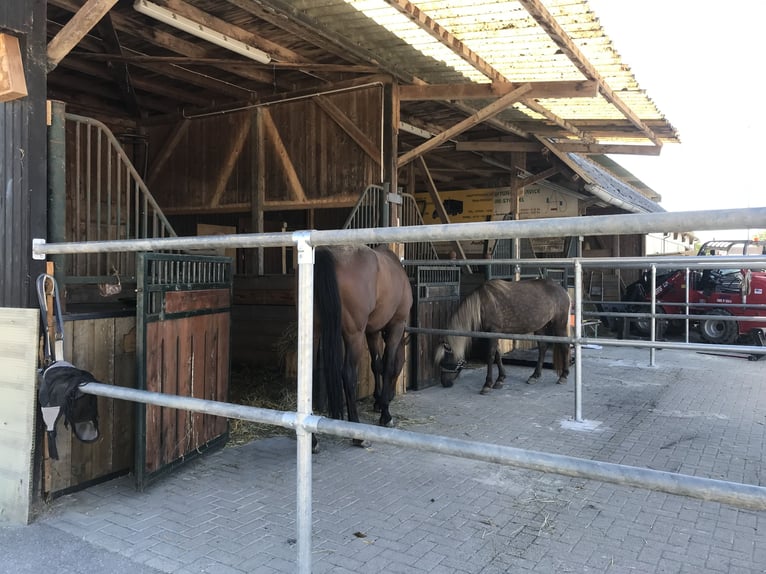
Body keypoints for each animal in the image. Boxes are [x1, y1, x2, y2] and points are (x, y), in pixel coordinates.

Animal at [314, 245, 414, 444]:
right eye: (402, 366)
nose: (392, 395)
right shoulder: (396, 326)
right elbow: (388, 365)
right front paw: (385, 413)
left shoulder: (372, 332)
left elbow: (376, 365)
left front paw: (378, 401)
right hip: (354, 335)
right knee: (348, 374)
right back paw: (357, 434)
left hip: (313, 332)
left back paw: (313, 441)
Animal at [436, 280, 572, 396]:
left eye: (445, 361)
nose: (444, 383)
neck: (482, 305)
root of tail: (562, 290)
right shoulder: (491, 333)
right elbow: (497, 355)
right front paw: (500, 379)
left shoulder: (493, 331)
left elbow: (490, 356)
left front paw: (487, 385)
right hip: (541, 326)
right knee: (542, 348)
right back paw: (535, 376)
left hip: (559, 325)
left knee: (565, 347)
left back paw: (563, 376)